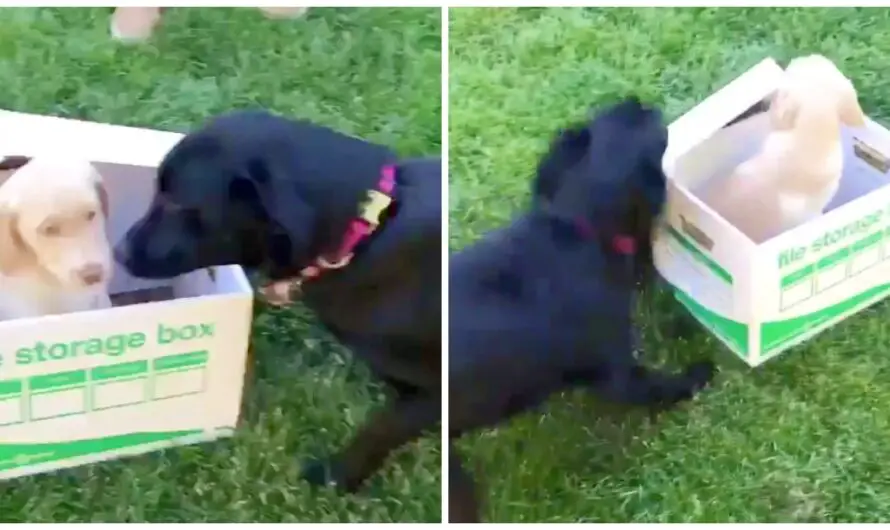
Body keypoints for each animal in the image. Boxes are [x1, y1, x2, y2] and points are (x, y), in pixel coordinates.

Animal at [448, 96, 712, 520]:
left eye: (597, 116)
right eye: (655, 134)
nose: (636, 99)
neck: (577, 223)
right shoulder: (619, 373)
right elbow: (659, 386)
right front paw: (698, 374)